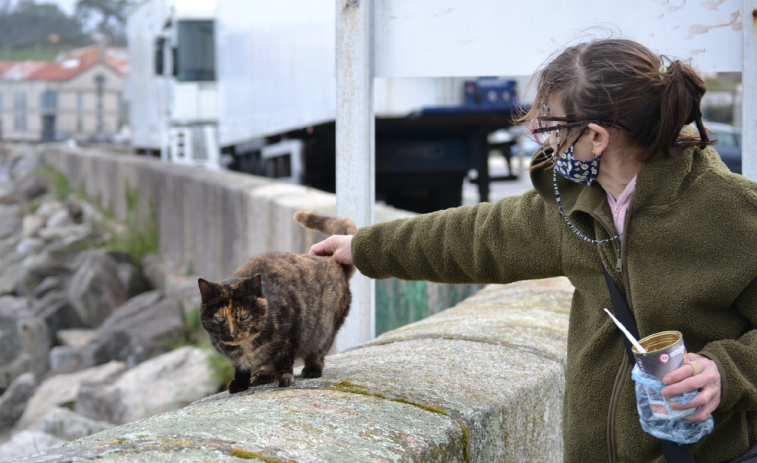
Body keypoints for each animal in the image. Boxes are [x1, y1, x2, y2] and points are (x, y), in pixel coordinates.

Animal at [198, 212, 358, 394]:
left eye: (244, 316)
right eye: (219, 319)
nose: (233, 334)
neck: (246, 346)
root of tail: (334, 262)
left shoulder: (288, 336)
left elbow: (283, 361)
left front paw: (285, 378)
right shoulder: (237, 359)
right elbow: (240, 367)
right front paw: (240, 383)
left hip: (324, 330)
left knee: (318, 351)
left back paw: (312, 368)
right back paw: (262, 374)